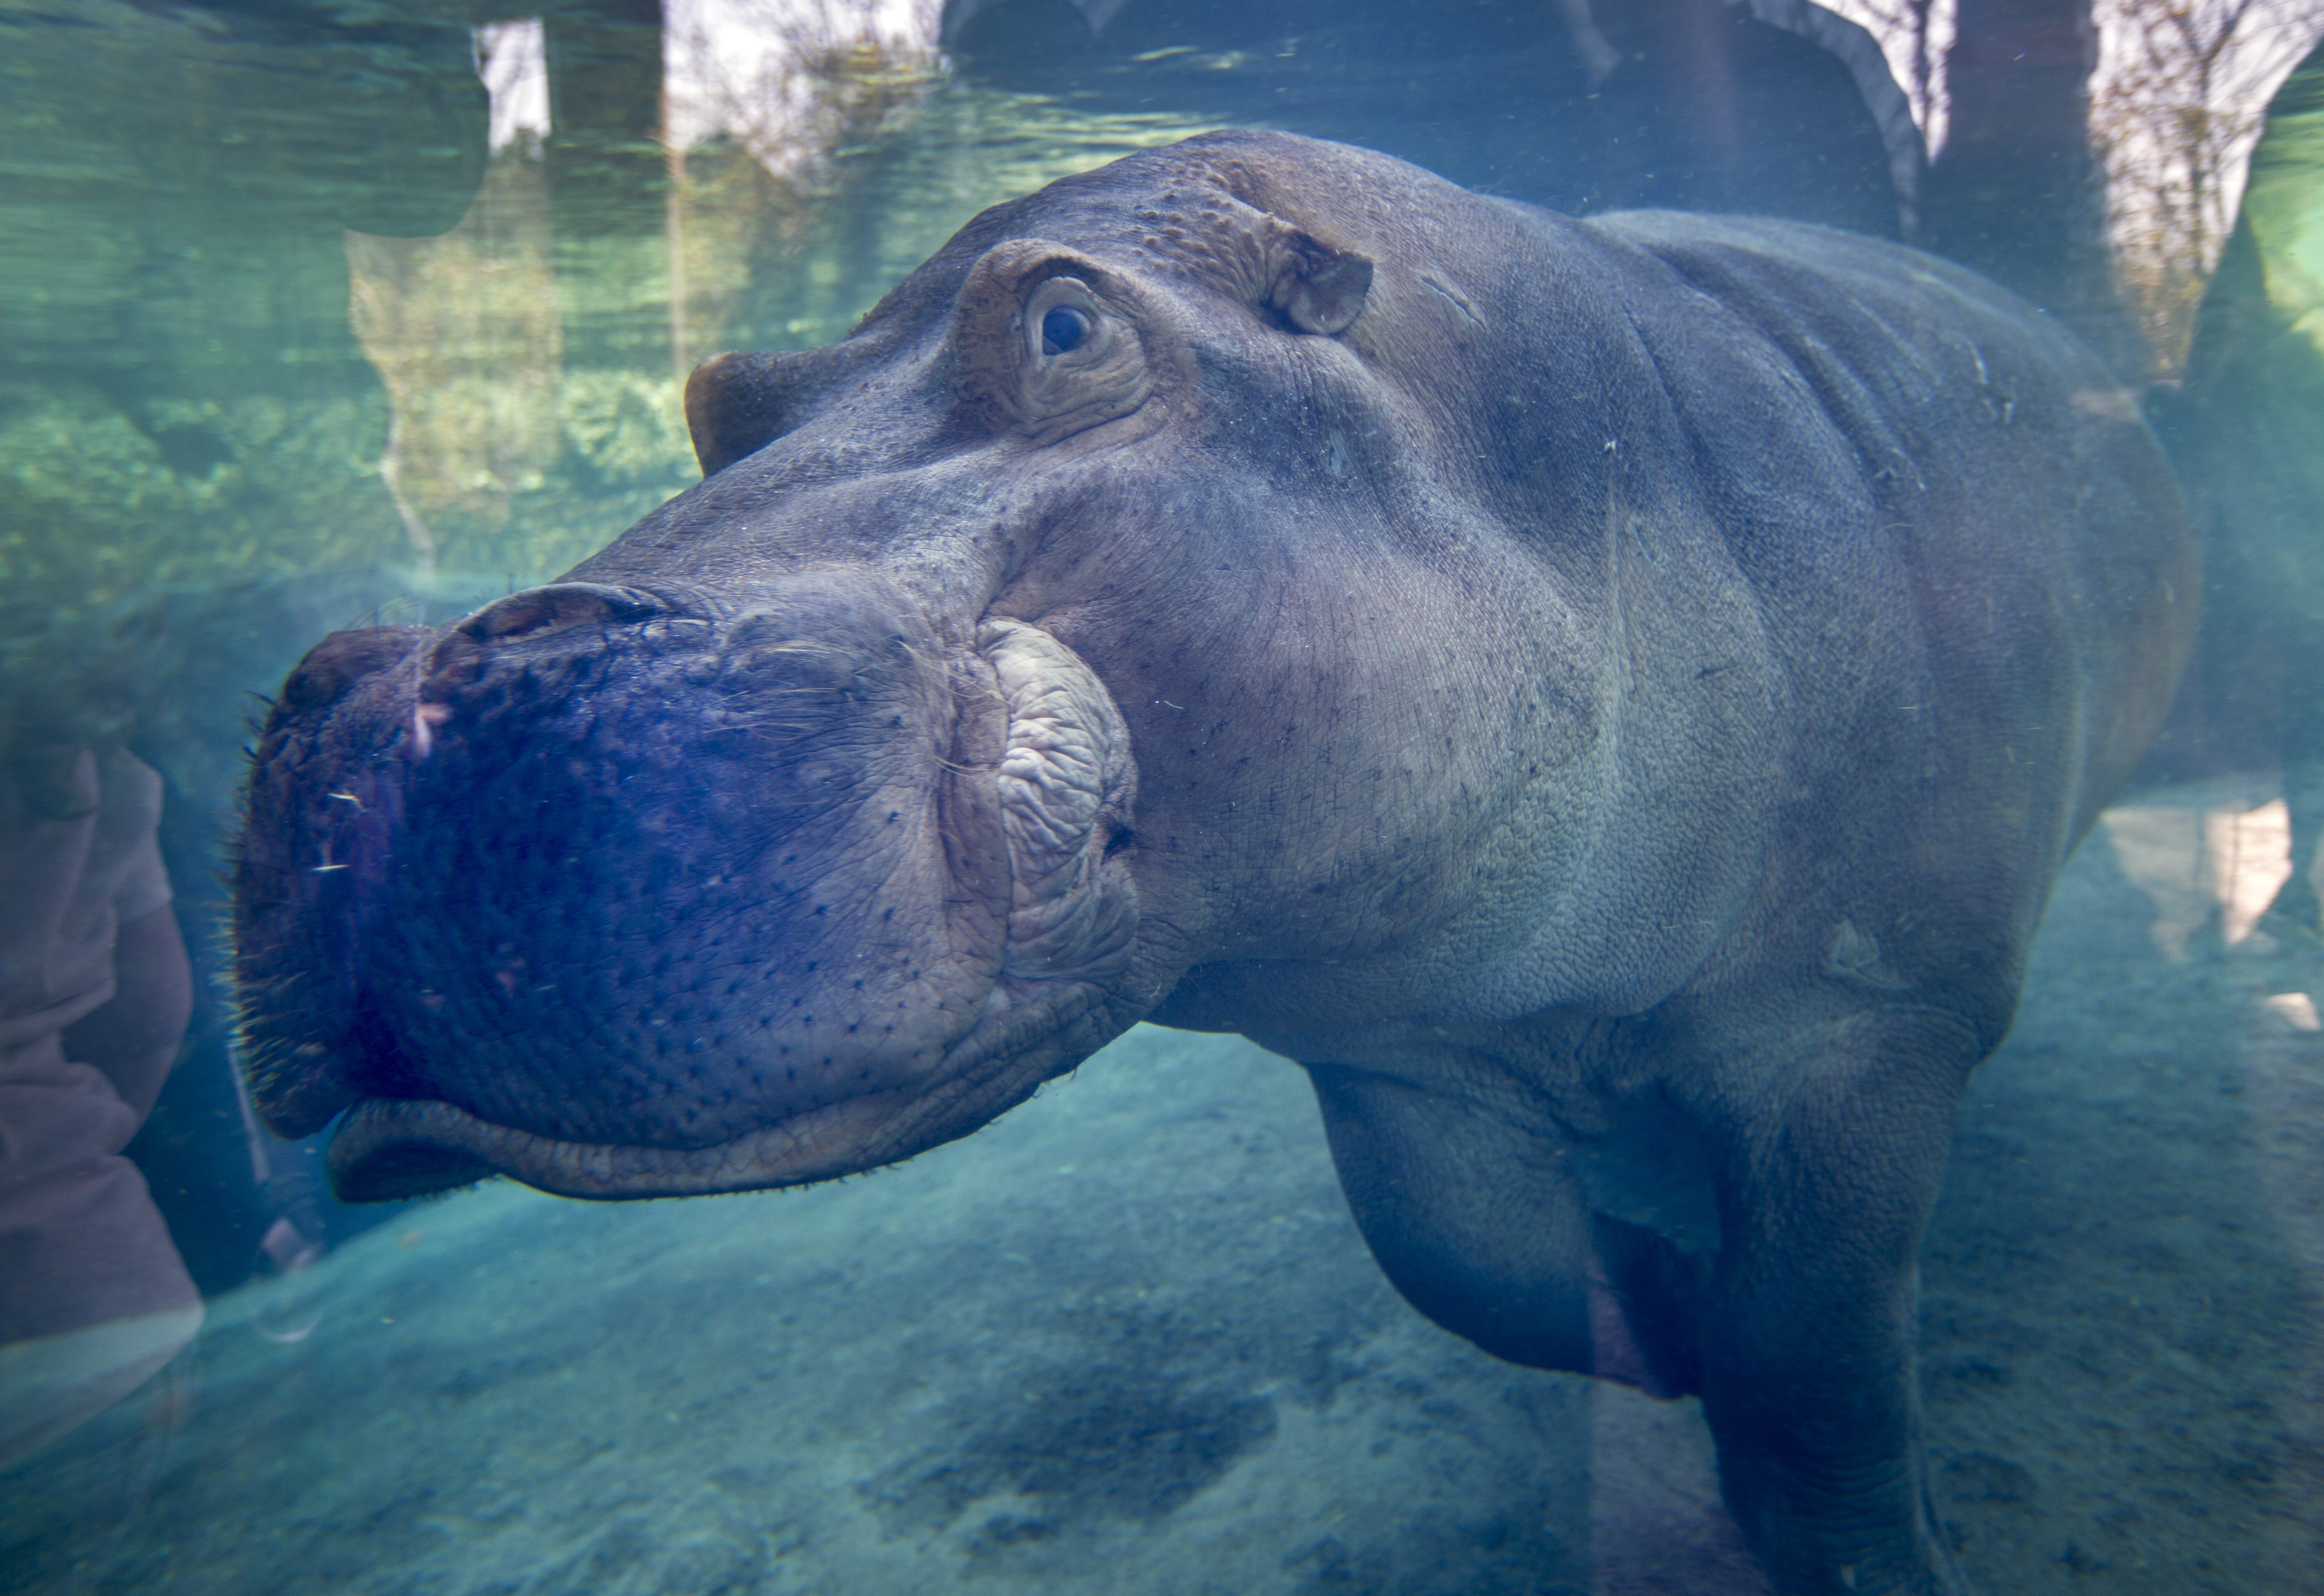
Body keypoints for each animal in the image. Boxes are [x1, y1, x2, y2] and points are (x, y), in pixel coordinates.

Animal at [234, 130, 2197, 1595]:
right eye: (722, 394)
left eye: (1065, 327)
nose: (407, 697)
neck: (1612, 442)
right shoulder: (1406, 1052)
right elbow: (1464, 1267)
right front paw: (1657, 1311)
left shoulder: (1861, 1019)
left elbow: (1807, 1369)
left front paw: (1862, 1526)